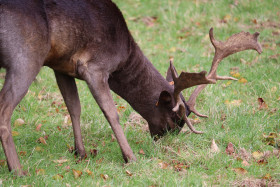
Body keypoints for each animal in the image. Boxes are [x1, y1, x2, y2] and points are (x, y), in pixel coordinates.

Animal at [0, 0, 262, 175]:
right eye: (175, 119)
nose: (164, 143)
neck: (123, 55)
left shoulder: (61, 66)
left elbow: (74, 108)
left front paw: (80, 153)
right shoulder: (94, 67)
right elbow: (111, 113)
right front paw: (130, 157)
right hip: (26, 57)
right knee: (4, 109)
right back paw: (17, 170)